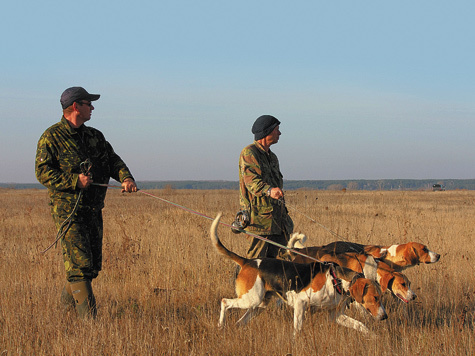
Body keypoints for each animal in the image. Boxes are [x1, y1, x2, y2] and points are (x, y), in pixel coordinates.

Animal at [210, 213, 388, 336]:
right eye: (374, 298)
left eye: (381, 297)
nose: (385, 317)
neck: (336, 280)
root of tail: (248, 261)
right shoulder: (300, 303)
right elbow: (298, 329)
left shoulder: (336, 315)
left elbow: (360, 325)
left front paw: (374, 337)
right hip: (250, 299)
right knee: (224, 302)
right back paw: (220, 325)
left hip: (258, 304)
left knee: (240, 321)